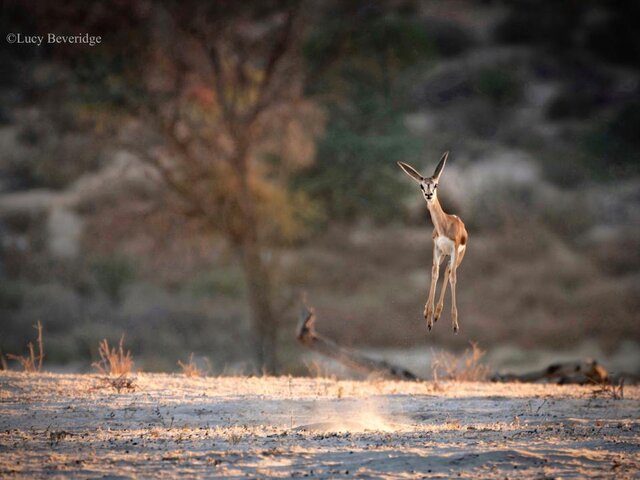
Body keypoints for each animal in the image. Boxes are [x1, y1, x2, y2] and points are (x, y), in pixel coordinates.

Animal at [398, 154, 468, 334]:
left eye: (435, 184)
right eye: (421, 186)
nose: (429, 195)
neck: (445, 225)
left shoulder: (454, 249)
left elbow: (453, 278)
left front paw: (454, 325)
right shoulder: (436, 248)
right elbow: (434, 273)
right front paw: (429, 318)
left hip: (457, 257)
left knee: (450, 272)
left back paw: (438, 314)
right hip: (444, 255)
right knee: (444, 271)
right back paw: (432, 313)